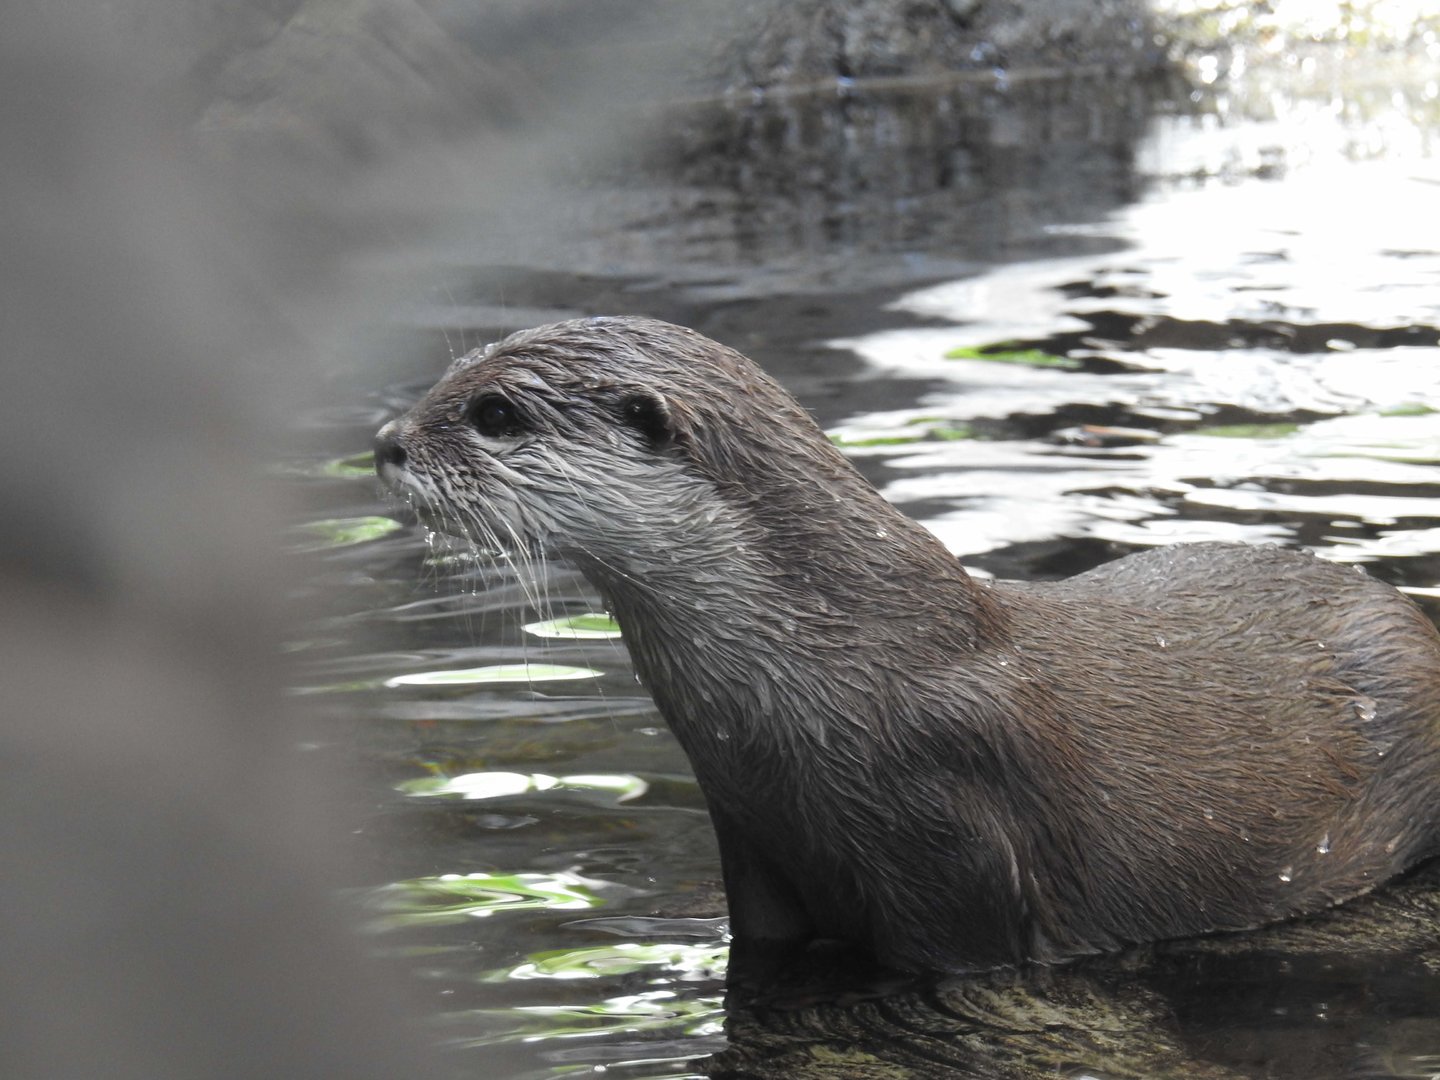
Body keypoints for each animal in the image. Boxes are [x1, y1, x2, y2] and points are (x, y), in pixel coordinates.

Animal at [374, 315, 1440, 973]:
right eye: (452, 375)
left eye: (494, 413)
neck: (832, 669)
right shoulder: (747, 830)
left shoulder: (948, 849)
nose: (386, 441)